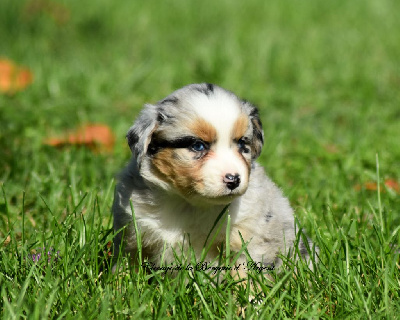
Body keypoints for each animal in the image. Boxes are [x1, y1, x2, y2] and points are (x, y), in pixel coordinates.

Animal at [112, 84, 316, 276]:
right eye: (198, 146)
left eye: (242, 143)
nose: (234, 180)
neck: (189, 205)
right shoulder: (131, 234)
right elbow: (126, 264)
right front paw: (119, 283)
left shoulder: (249, 239)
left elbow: (245, 274)